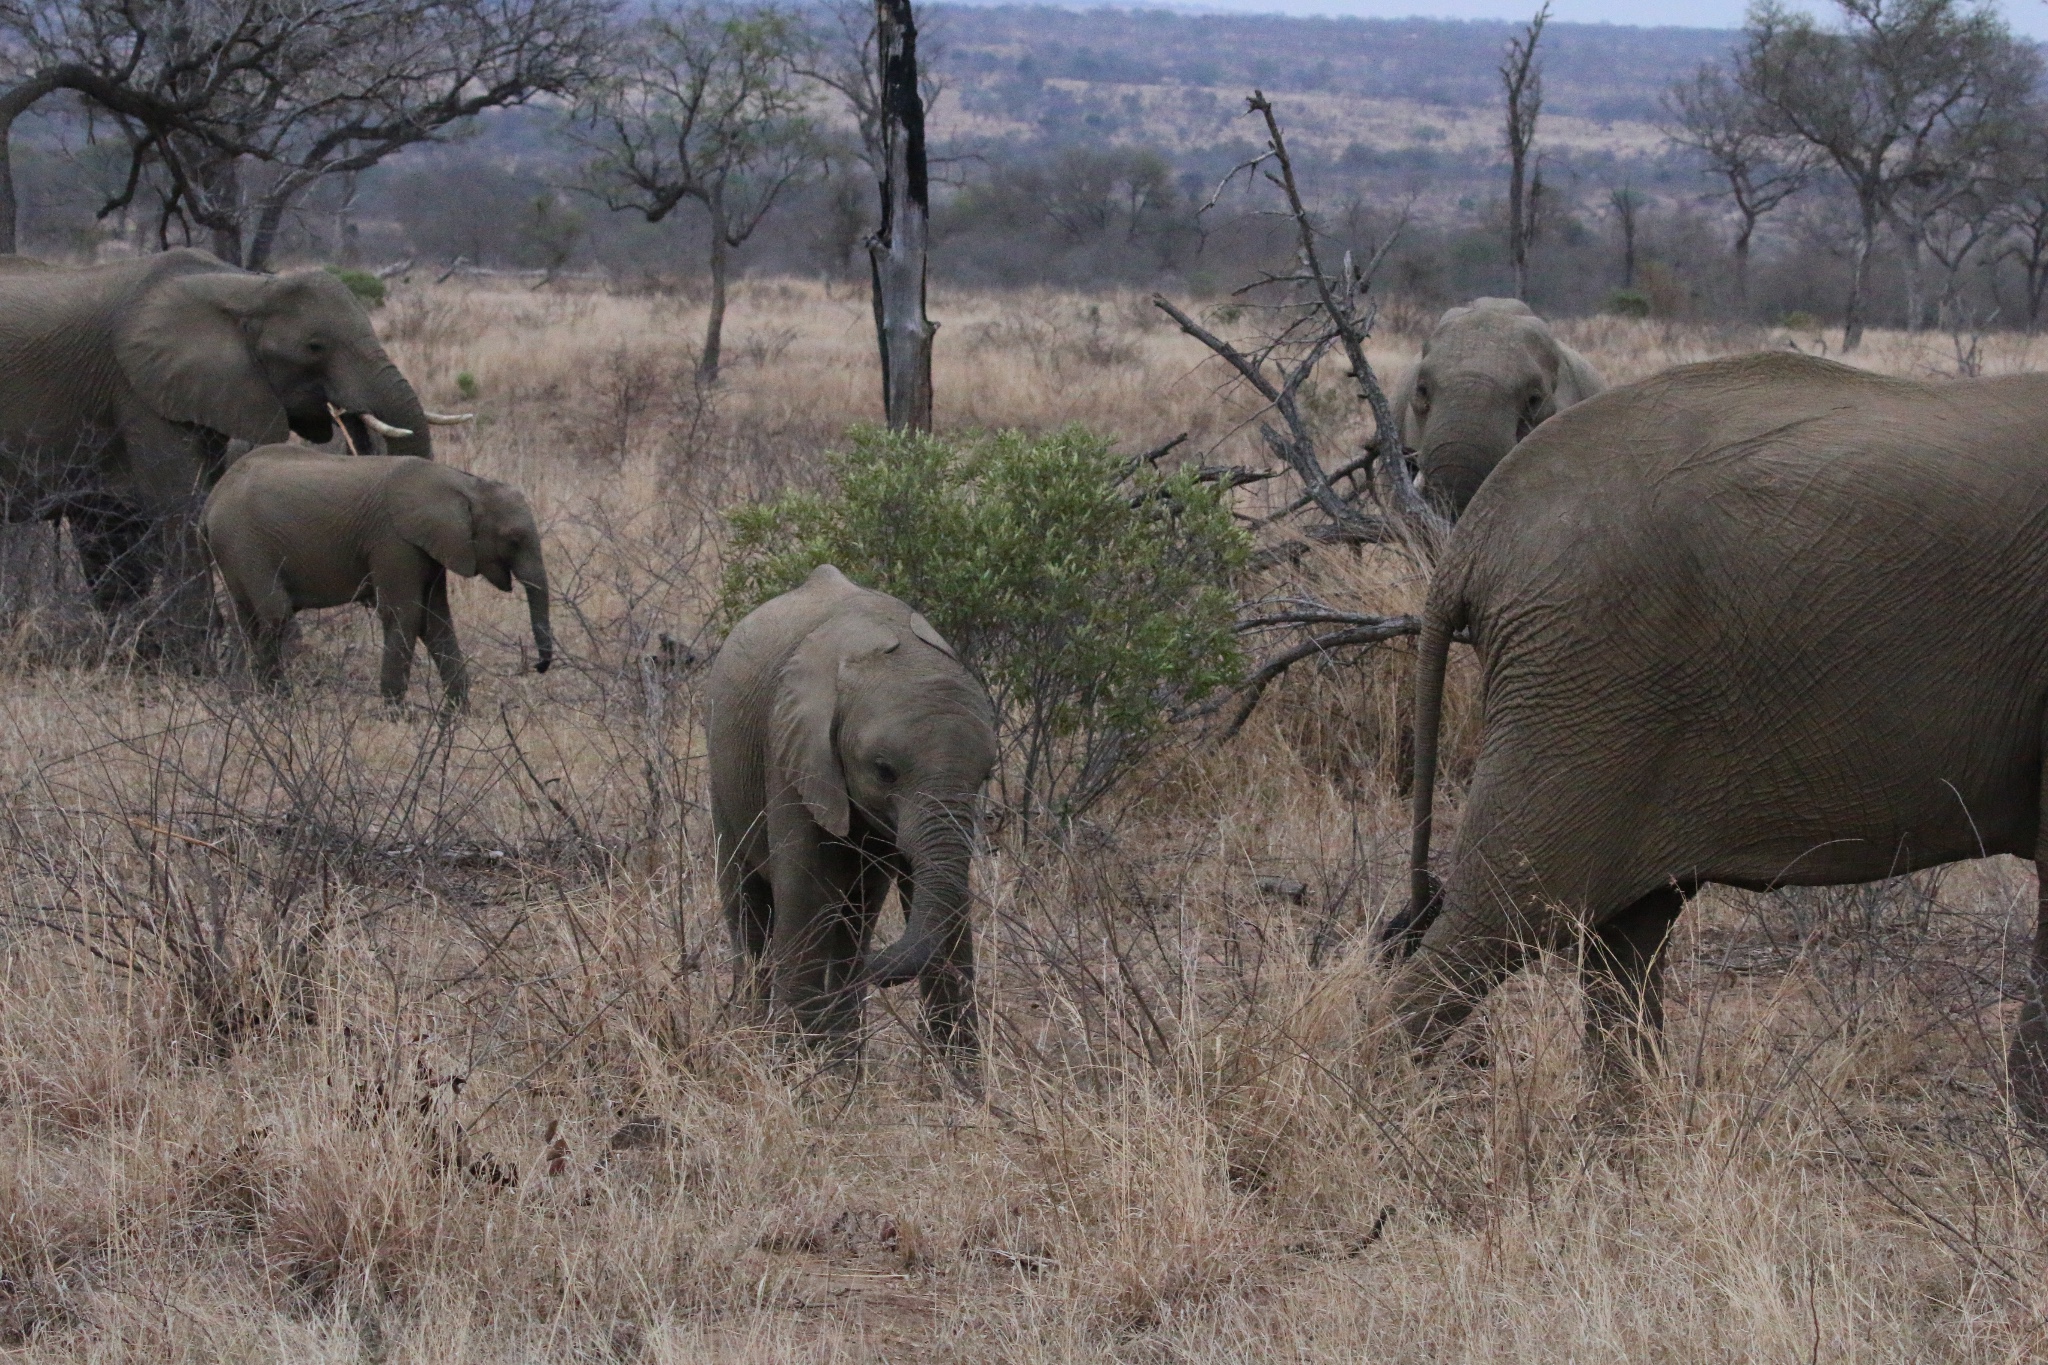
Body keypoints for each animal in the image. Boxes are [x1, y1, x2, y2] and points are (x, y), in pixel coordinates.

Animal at [203, 446, 552, 703]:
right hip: (244, 541)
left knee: (244, 619)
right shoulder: (393, 541)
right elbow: (405, 614)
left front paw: (457, 716)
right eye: (513, 540)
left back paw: (242, 704)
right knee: (274, 614)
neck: (465, 485)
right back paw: (279, 705)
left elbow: (435, 620)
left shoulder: (429, 546)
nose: (539, 666)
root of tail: (211, 501)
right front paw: (396, 715)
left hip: (235, 548)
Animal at [708, 564, 1003, 1064]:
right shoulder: (792, 750)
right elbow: (806, 898)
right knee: (749, 909)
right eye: (884, 771)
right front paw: (793, 1076)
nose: (874, 971)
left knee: (856, 916)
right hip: (721, 770)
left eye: (986, 775)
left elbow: (946, 909)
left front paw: (962, 1083)